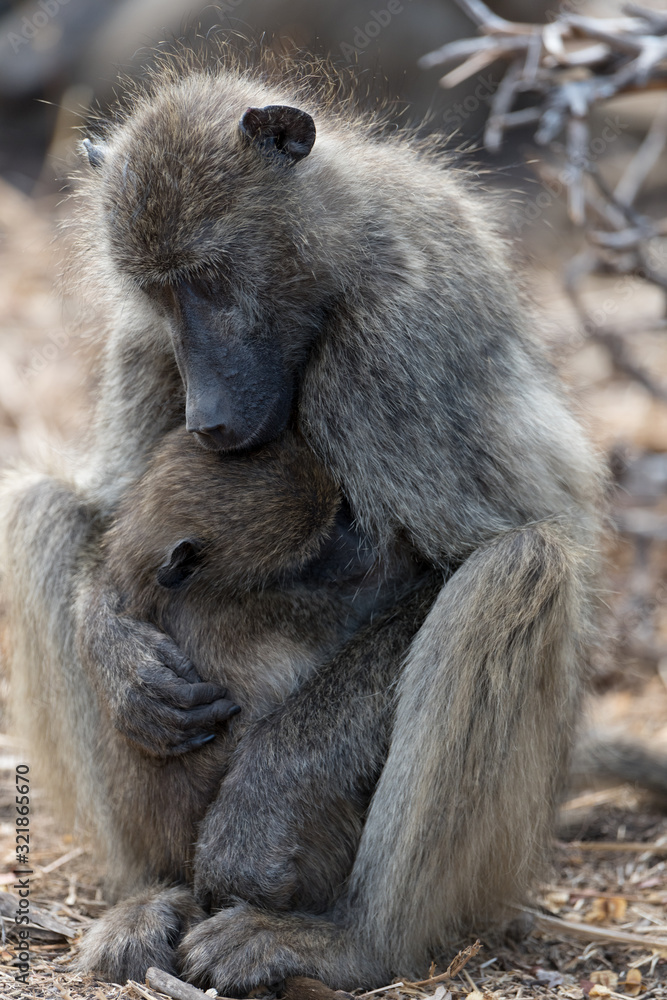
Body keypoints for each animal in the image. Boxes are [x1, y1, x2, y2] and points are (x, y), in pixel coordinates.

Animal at [0, 49, 603, 994]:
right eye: (158, 294)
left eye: (211, 281)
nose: (209, 416)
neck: (334, 253)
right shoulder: (144, 345)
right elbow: (113, 517)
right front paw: (120, 653)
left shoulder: (392, 344)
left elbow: (454, 560)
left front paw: (260, 804)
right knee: (41, 512)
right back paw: (151, 896)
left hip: (508, 843)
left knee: (520, 567)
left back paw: (356, 943)